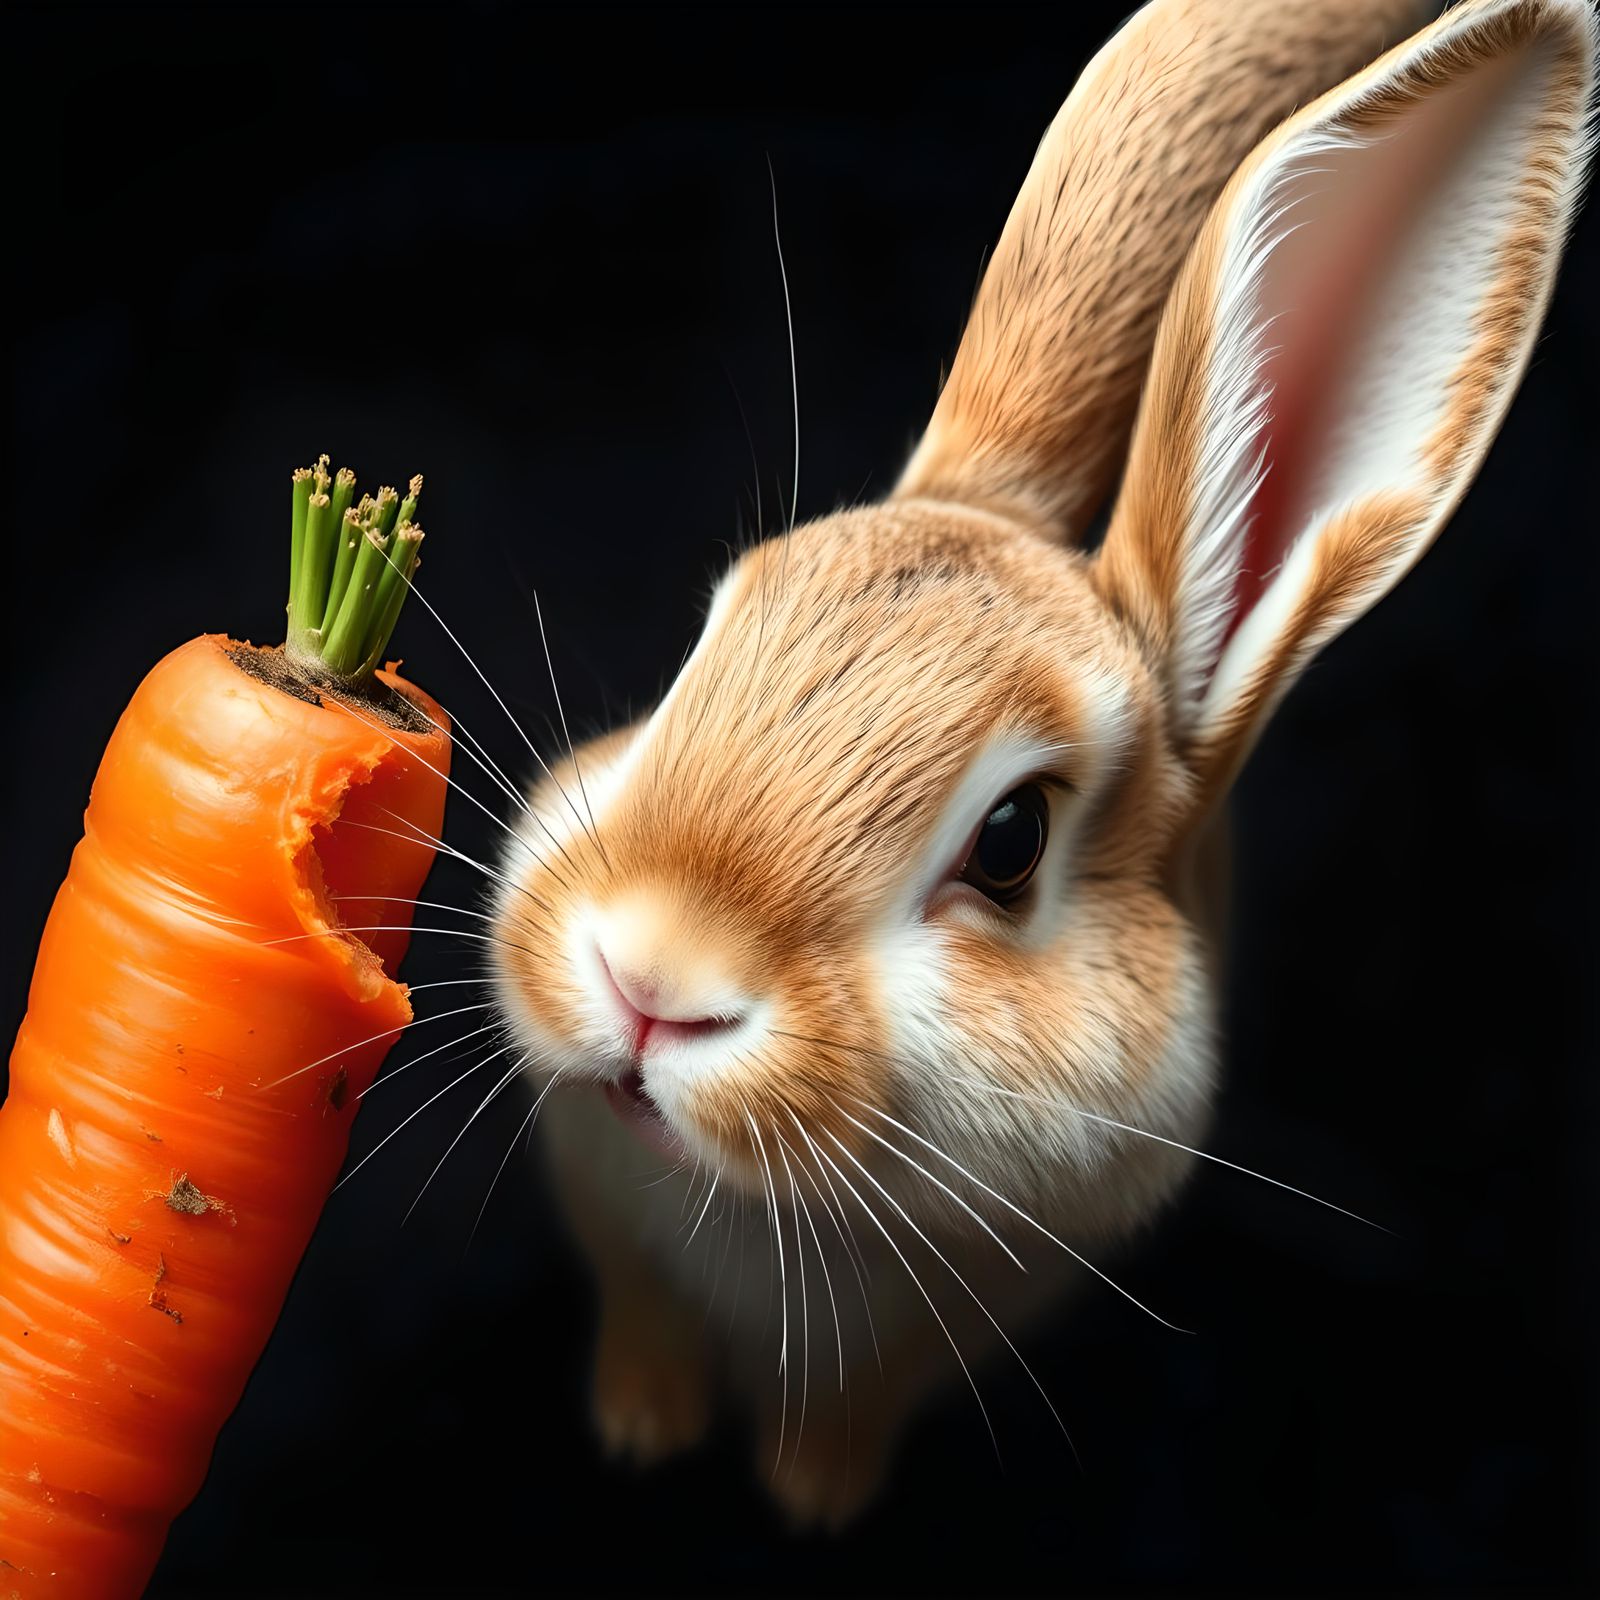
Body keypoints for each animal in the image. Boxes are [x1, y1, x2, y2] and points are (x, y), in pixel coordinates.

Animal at [486, 0, 1597, 1527]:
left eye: (1012, 839)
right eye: (700, 645)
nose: (649, 984)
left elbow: (844, 1413)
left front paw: (814, 1502)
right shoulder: (618, 1233)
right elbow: (643, 1327)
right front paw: (641, 1434)